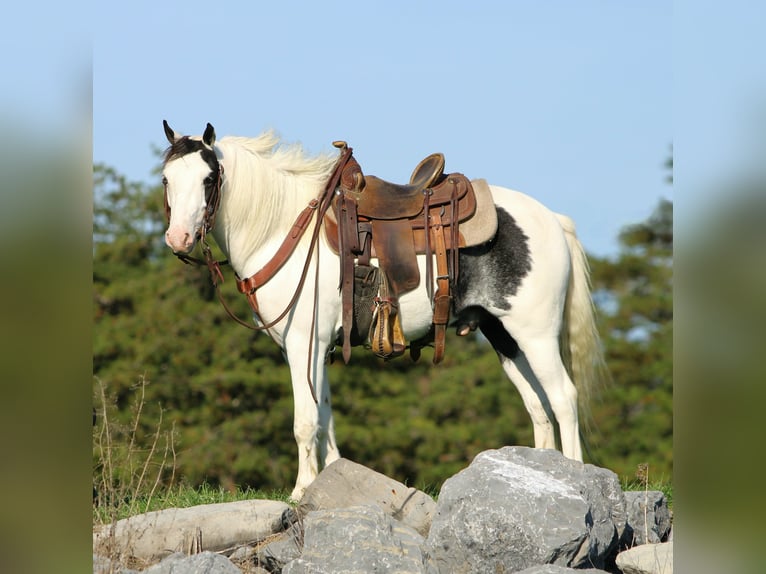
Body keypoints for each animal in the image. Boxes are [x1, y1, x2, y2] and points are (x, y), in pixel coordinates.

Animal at [161, 120, 606, 500]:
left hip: (535, 334)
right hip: (504, 337)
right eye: (166, 178)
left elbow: (305, 421)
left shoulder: (303, 343)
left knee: (562, 398)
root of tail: (552, 219)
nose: (178, 238)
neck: (282, 230)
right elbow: (326, 418)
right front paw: (332, 478)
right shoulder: (319, 348)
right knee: (538, 407)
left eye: (208, 179)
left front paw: (301, 491)